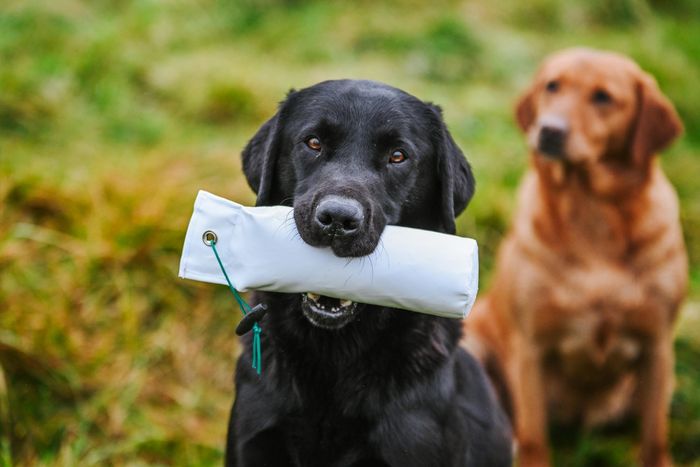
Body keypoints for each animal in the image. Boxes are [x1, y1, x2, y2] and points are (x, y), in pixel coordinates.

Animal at [462, 48, 688, 467]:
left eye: (603, 97)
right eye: (552, 86)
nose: (549, 130)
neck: (591, 214)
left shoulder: (657, 346)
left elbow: (654, 436)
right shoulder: (531, 349)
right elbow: (534, 436)